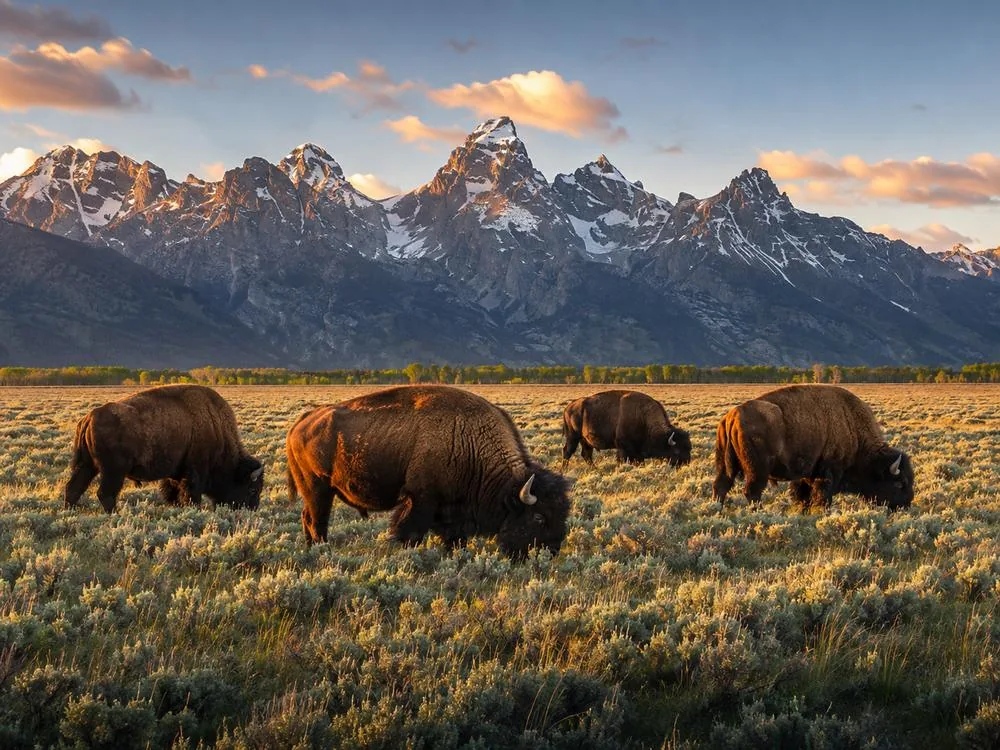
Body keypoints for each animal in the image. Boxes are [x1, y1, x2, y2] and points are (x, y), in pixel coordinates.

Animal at [64, 384, 264, 512]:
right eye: (252, 490)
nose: (251, 510)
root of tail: (89, 417)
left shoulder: (175, 473)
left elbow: (172, 492)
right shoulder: (195, 472)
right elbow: (191, 495)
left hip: (87, 465)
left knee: (74, 488)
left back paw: (70, 512)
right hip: (113, 471)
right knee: (105, 493)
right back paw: (115, 514)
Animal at [285, 385, 571, 558]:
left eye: (563, 514)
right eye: (539, 517)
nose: (553, 550)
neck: (468, 439)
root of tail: (303, 421)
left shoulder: (453, 510)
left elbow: (455, 538)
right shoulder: (420, 499)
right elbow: (410, 532)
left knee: (308, 518)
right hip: (318, 489)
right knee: (316, 520)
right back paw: (322, 550)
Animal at [561, 390, 692, 469]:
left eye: (689, 448)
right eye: (676, 451)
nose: (686, 463)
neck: (643, 417)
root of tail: (569, 407)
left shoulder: (638, 452)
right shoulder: (623, 447)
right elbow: (623, 459)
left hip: (585, 440)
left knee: (586, 454)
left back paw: (595, 469)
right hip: (573, 437)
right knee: (567, 451)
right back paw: (564, 470)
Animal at [713, 384, 914, 511]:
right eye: (900, 483)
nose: (906, 504)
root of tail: (732, 416)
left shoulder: (804, 474)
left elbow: (802, 496)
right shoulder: (828, 473)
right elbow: (822, 497)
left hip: (725, 465)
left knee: (721, 486)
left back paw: (717, 510)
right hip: (757, 470)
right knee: (752, 491)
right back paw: (759, 513)